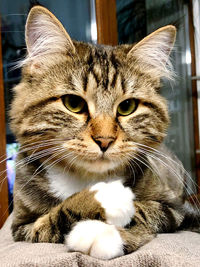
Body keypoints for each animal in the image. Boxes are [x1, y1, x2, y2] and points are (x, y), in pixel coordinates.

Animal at [10, 5, 199, 262]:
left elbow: (146, 210)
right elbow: (51, 218)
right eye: (73, 104)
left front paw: (105, 230)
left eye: (127, 106)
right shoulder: (21, 226)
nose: (105, 140)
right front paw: (104, 200)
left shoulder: (178, 209)